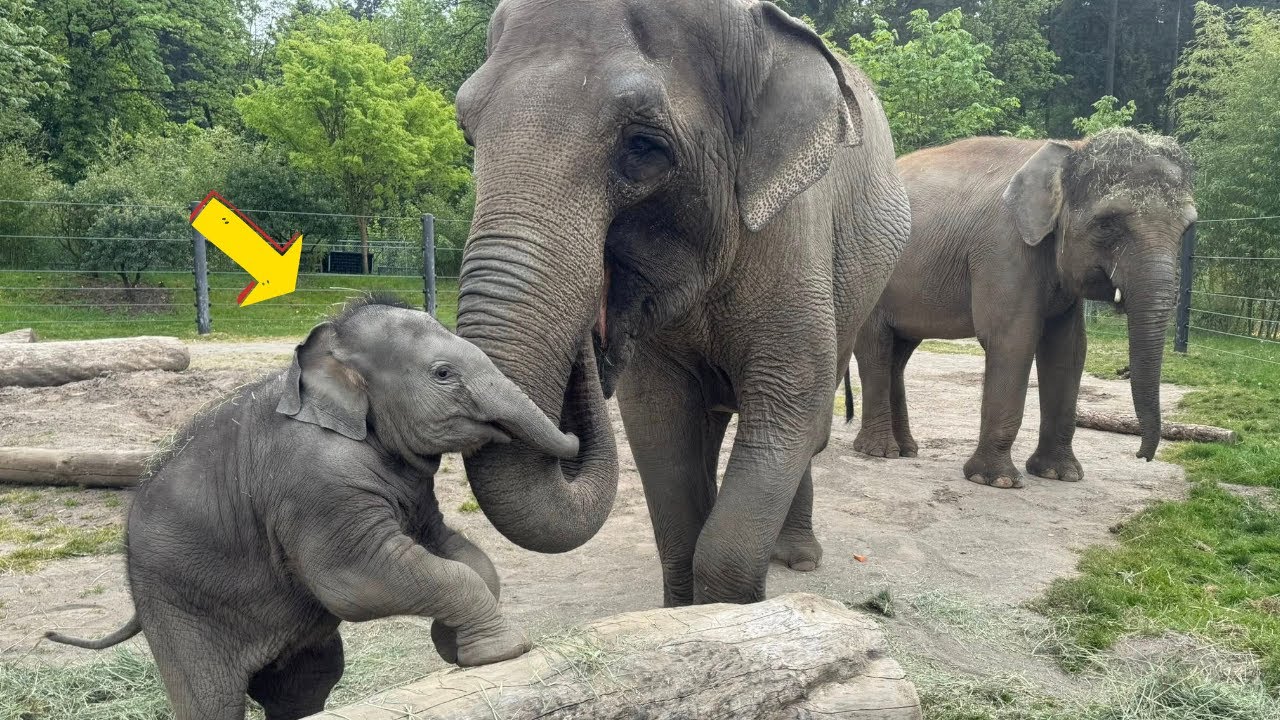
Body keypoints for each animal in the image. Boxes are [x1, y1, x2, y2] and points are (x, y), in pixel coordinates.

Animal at [44, 297, 578, 720]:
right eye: (443, 374)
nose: (575, 432)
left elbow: (457, 552)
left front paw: (455, 649)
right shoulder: (316, 485)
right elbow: (351, 579)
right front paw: (502, 651)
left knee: (305, 685)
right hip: (177, 608)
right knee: (211, 700)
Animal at [451, 0, 911, 606]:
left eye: (642, 147)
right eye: (467, 132)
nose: (594, 342)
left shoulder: (794, 233)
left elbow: (789, 402)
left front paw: (731, 612)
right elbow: (658, 421)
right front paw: (681, 611)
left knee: (809, 426)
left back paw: (797, 559)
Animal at [852, 129, 1196, 488]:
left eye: (1188, 229)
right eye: (1106, 224)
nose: (1142, 455)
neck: (1071, 149)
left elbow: (1068, 349)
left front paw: (1060, 474)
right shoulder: (1004, 248)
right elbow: (1012, 339)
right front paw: (996, 481)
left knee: (899, 354)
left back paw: (906, 449)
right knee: (875, 347)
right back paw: (879, 452)